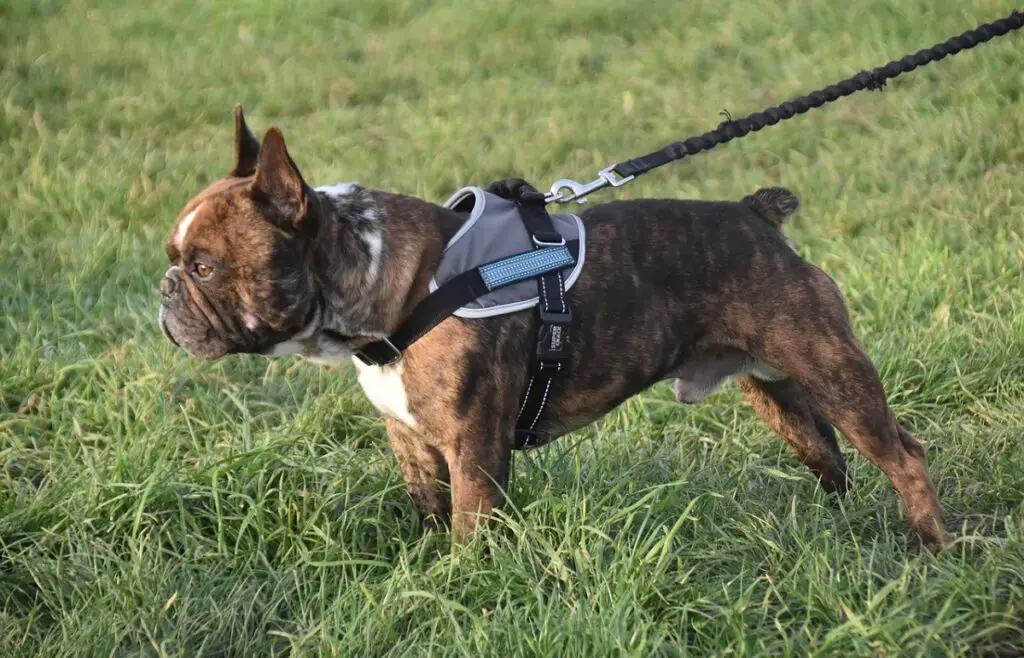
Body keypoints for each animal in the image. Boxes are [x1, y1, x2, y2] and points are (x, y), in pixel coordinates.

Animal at [159, 106, 950, 552]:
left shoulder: (474, 449)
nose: (164, 290)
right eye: (177, 260)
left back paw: (931, 549)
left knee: (902, 456)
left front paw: (462, 587)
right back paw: (836, 528)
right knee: (828, 453)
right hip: (777, 388)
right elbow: (427, 512)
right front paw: (422, 574)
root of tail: (758, 217)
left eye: (203, 266)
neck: (390, 289)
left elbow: (469, 530)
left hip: (833, 370)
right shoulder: (412, 442)